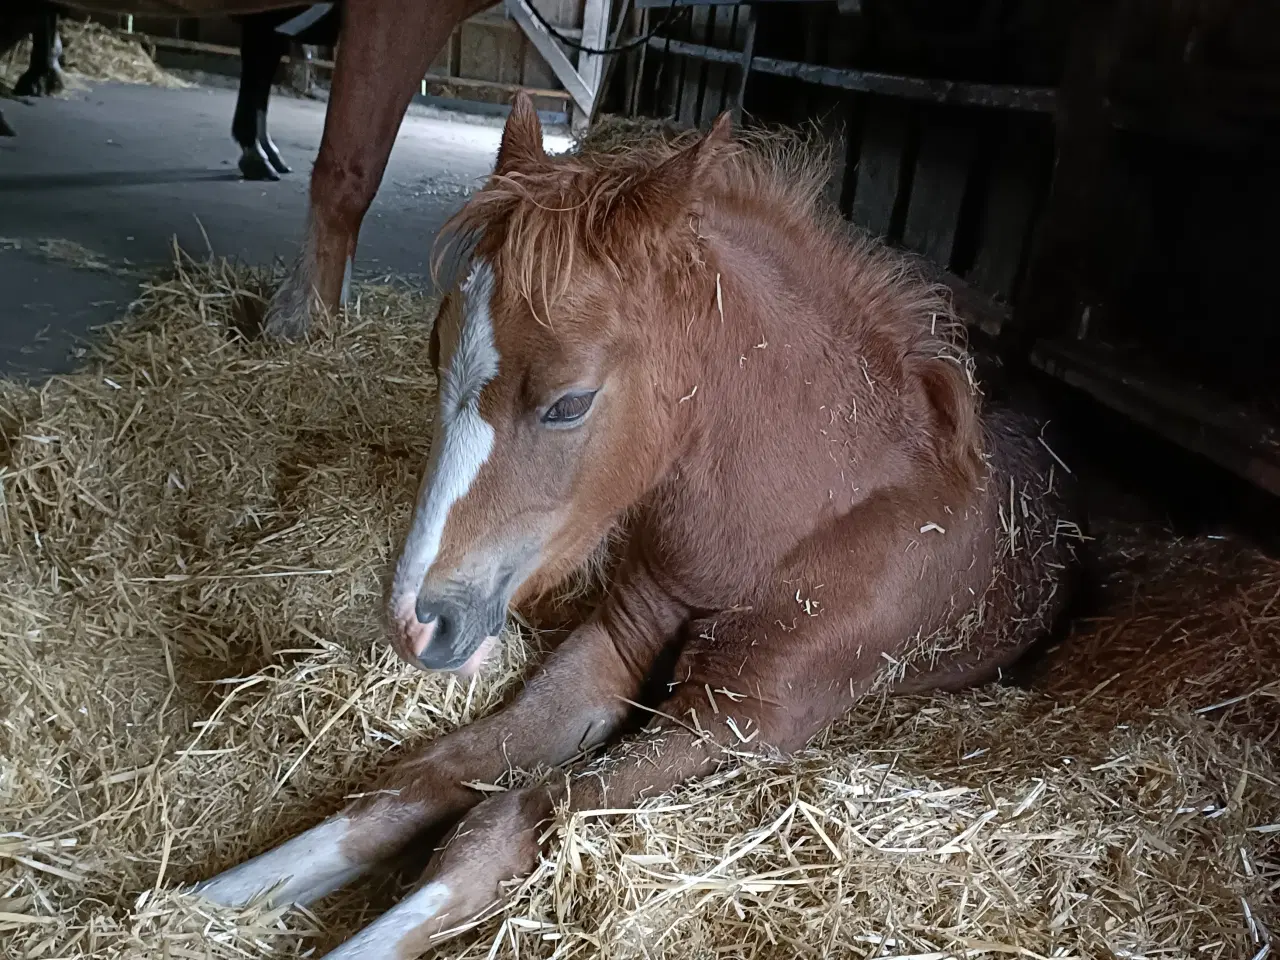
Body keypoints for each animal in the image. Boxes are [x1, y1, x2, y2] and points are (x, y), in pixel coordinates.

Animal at [194, 96, 1085, 957]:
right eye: (431, 352)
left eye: (569, 401)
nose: (418, 621)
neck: (789, 527)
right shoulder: (615, 641)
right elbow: (434, 770)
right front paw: (206, 901)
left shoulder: (742, 715)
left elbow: (503, 822)